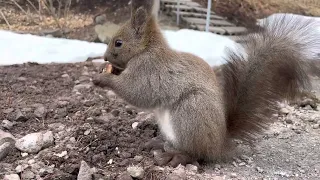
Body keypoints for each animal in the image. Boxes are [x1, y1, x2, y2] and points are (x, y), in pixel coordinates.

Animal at [91, 0, 318, 167]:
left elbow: (137, 92)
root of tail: (220, 144)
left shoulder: (149, 71)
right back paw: (159, 142)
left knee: (197, 154)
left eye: (118, 43)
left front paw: (104, 79)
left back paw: (176, 156)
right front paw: (106, 70)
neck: (146, 50)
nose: (105, 57)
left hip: (191, 113)